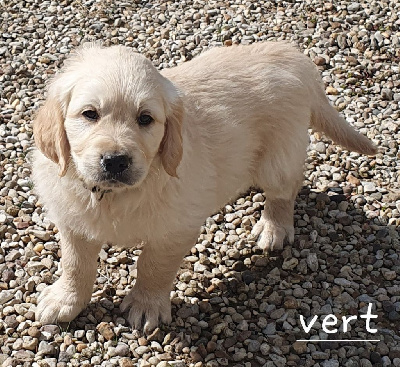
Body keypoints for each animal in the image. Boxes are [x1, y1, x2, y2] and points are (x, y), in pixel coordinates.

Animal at [31, 41, 376, 332]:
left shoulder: (175, 230)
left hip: (278, 156)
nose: (116, 161)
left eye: (145, 119)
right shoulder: (73, 221)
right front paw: (65, 300)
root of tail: (291, 54)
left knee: (285, 188)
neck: (115, 196)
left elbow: (153, 266)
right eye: (90, 114)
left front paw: (146, 305)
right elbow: (75, 264)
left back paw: (273, 226)